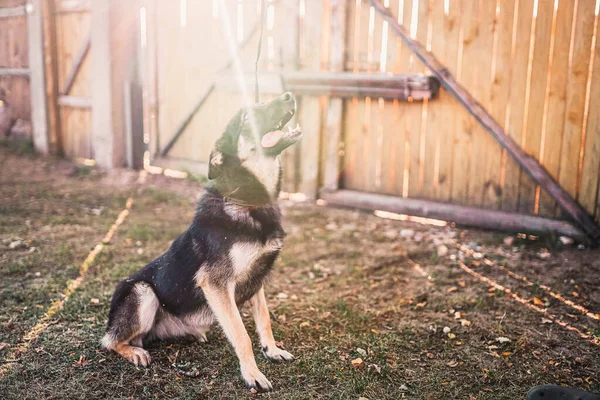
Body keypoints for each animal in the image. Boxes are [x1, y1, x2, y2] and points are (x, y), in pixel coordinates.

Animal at [101, 91, 304, 390]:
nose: (289, 95)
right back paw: (134, 351)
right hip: (142, 291)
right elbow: (241, 334)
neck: (248, 202)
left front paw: (272, 350)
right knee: (110, 341)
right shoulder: (217, 284)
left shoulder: (257, 278)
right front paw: (252, 374)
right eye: (247, 116)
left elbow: (264, 319)